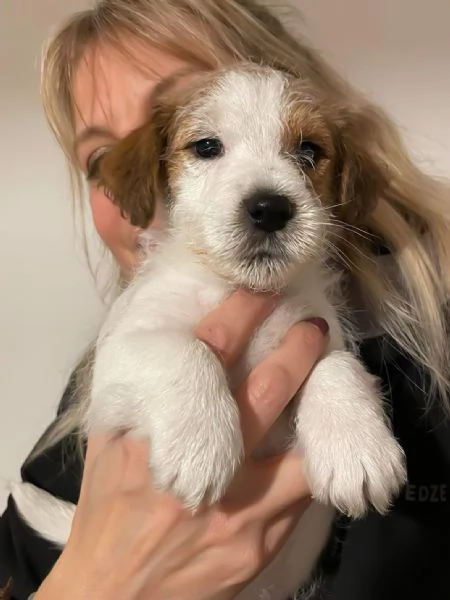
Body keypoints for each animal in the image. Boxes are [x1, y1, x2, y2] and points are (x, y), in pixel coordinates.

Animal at [14, 63, 410, 596]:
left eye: (309, 151)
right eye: (206, 147)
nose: (270, 208)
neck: (232, 287)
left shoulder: (316, 330)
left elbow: (337, 366)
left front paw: (355, 447)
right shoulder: (116, 362)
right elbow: (184, 350)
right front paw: (200, 445)